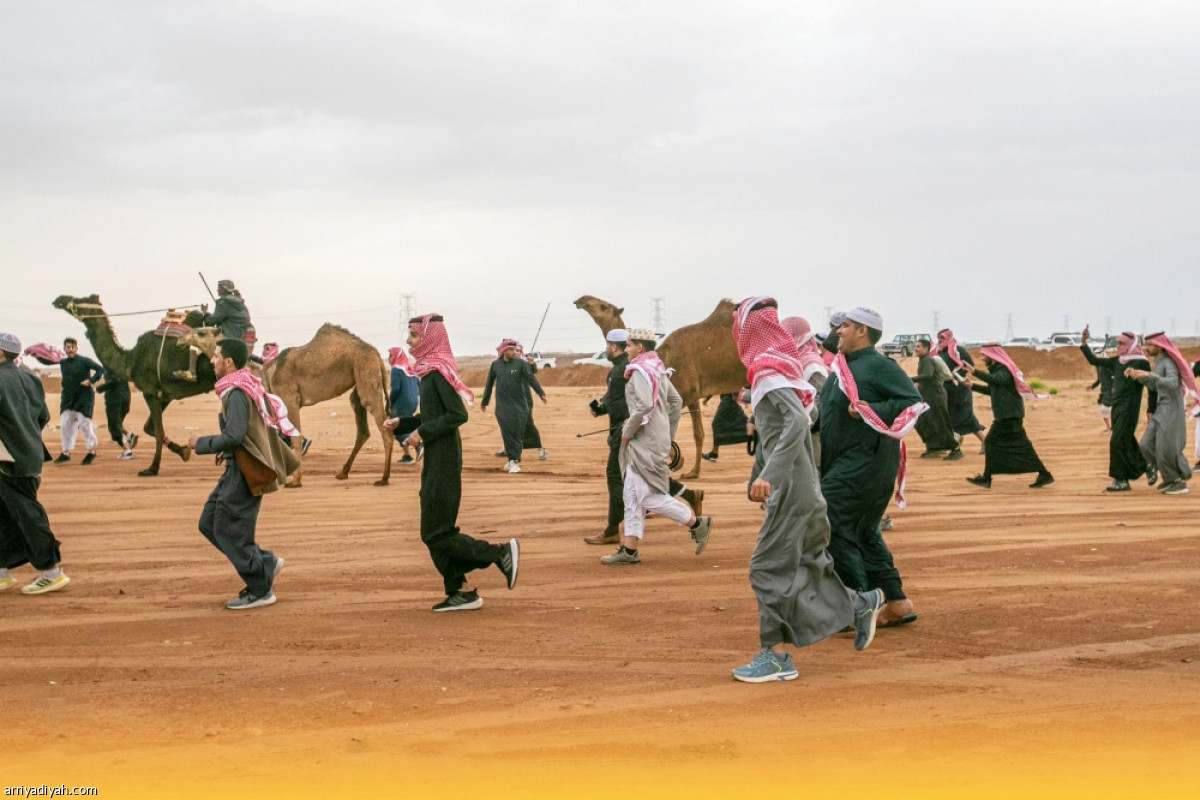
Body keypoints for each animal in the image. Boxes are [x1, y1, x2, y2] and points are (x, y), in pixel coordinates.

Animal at [52, 297, 208, 479]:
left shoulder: (150, 391)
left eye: (80, 299)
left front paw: (152, 469)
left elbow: (158, 431)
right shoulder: (165, 394)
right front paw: (183, 451)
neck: (130, 359)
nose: (59, 299)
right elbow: (149, 428)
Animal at [261, 323, 393, 489]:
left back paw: (384, 478)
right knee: (362, 424)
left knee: (381, 422)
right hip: (360, 377)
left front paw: (295, 481)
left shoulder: (289, 398)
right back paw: (343, 473)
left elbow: (295, 437)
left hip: (367, 370)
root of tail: (378, 356)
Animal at [573, 296, 748, 479]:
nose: (581, 300)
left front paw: (681, 464)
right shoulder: (692, 396)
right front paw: (692, 471)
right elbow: (698, 433)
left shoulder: (686, 392)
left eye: (603, 306)